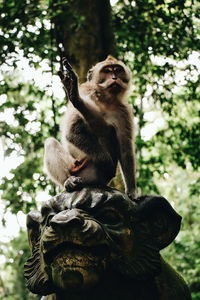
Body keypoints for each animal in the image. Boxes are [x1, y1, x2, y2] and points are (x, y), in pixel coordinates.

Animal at [44, 55, 137, 200]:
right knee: (51, 142)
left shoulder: (124, 111)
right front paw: (75, 97)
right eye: (107, 70)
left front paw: (132, 192)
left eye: (117, 70)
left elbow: (125, 148)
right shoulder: (86, 91)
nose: (114, 77)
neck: (106, 100)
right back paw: (68, 181)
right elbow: (72, 132)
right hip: (79, 169)